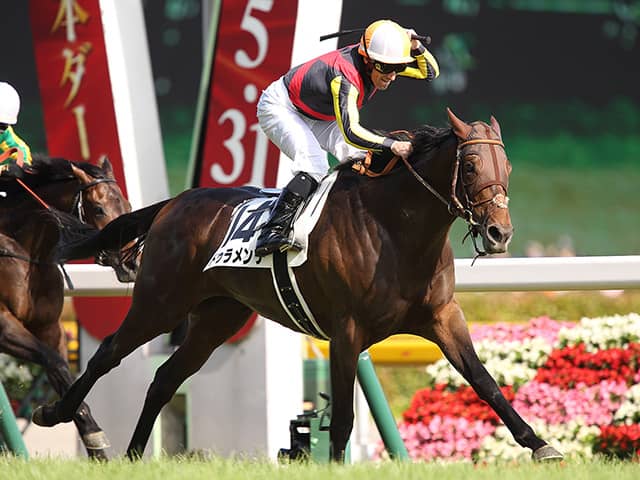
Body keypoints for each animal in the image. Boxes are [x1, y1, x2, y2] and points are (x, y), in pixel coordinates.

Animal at [0, 154, 134, 459]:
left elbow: (63, 374)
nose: (133, 262)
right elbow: (57, 363)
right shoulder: (4, 326)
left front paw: (96, 447)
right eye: (98, 208)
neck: (25, 251)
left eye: (128, 206)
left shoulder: (50, 328)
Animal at [32, 108, 563, 462]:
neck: (396, 229)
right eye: (470, 167)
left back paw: (134, 454)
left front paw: (540, 445)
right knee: (108, 354)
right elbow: (344, 415)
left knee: (164, 378)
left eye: (507, 169)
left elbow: (485, 382)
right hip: (161, 302)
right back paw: (62, 417)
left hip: (217, 317)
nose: (499, 233)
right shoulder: (347, 331)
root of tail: (173, 203)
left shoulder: (442, 316)